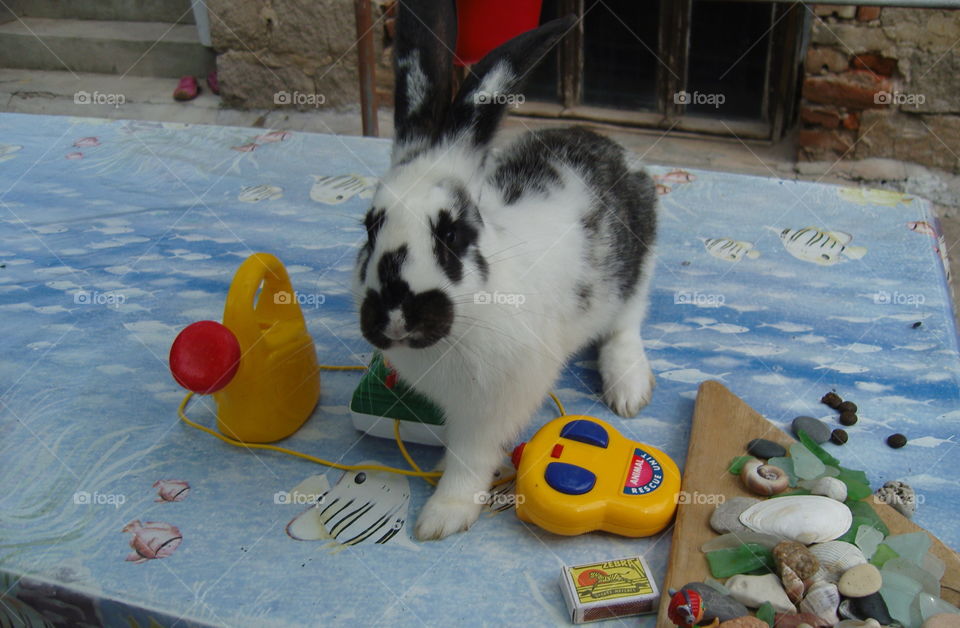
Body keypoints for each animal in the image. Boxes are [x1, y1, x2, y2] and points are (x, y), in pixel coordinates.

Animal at [354, 0, 660, 540]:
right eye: (370, 228)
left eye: (452, 234)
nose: (393, 318)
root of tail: (611, 145)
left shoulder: (494, 406)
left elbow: (469, 458)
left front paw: (442, 516)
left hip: (635, 272)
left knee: (625, 325)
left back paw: (627, 389)